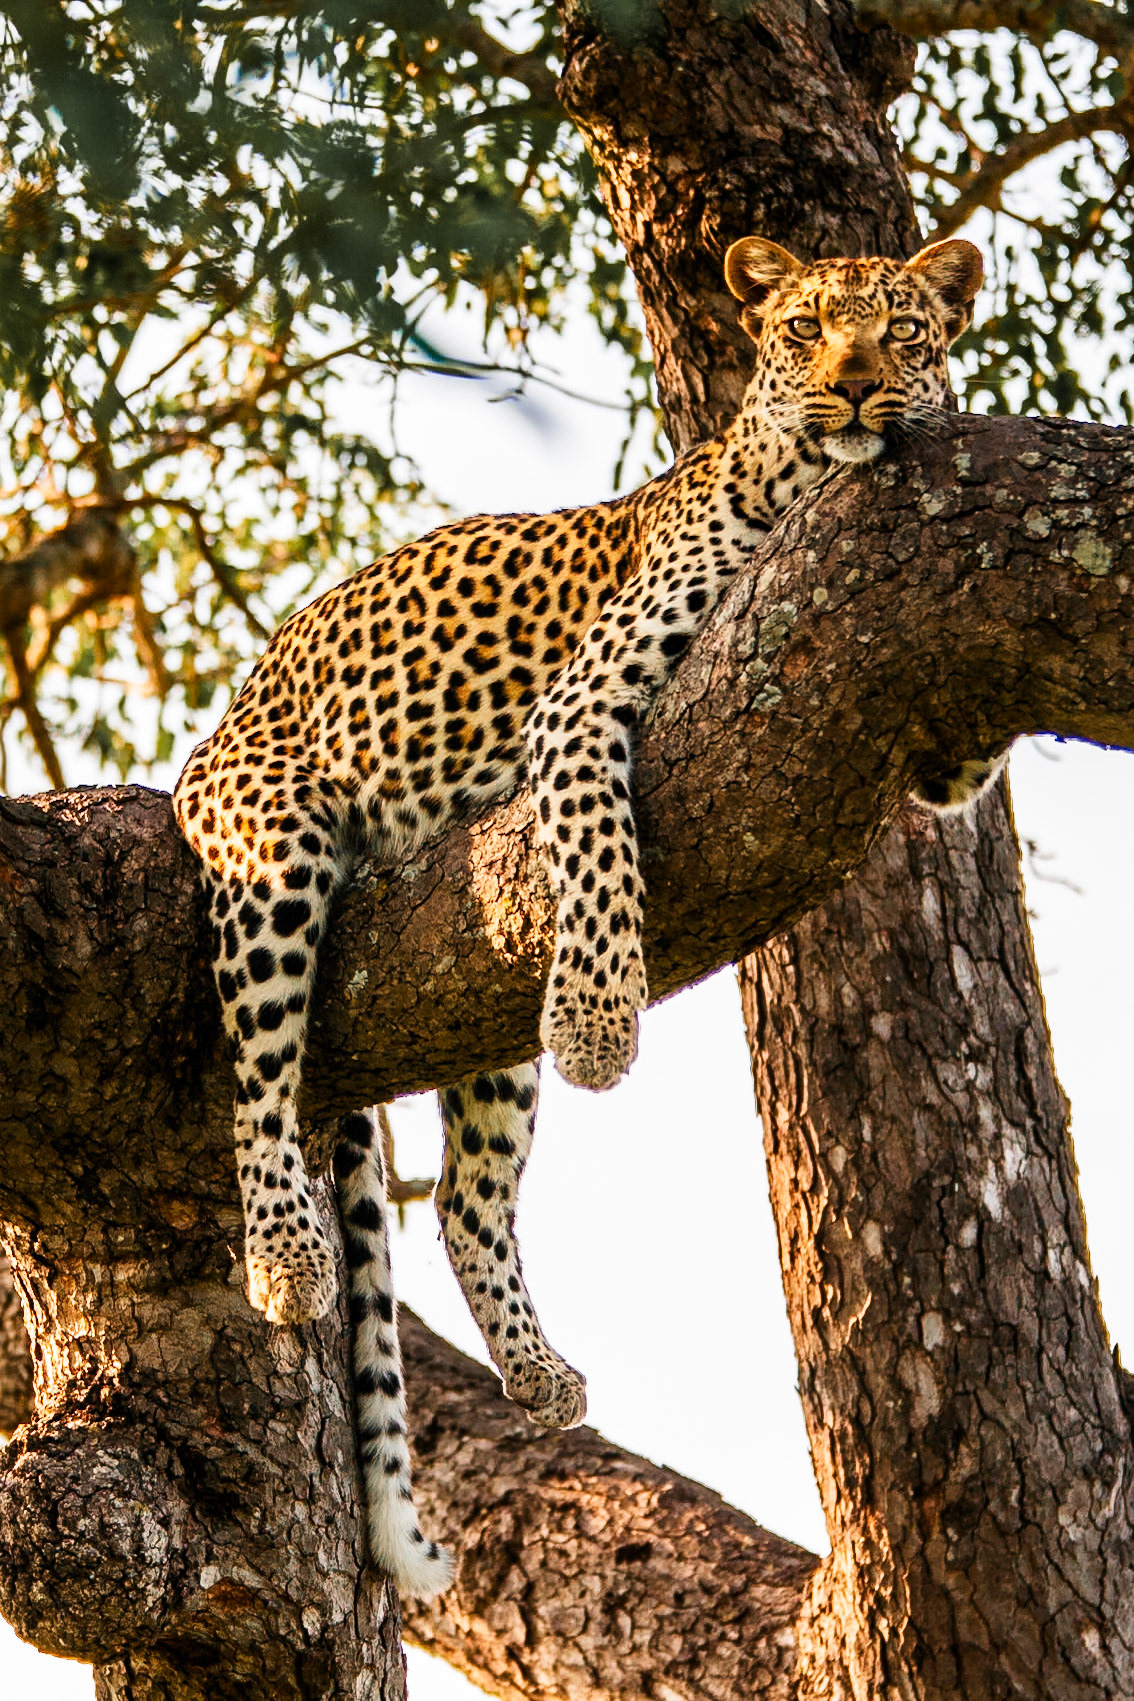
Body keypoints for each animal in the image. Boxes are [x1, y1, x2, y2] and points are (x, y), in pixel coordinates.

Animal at [173, 234, 996, 1599]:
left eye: (904, 330)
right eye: (808, 328)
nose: (858, 387)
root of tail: (220, 726)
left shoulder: (934, 749)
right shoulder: (581, 707)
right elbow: (602, 848)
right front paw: (606, 1025)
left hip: (473, 1014)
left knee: (465, 1199)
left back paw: (540, 1374)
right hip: (271, 849)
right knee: (262, 1083)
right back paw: (287, 1257)